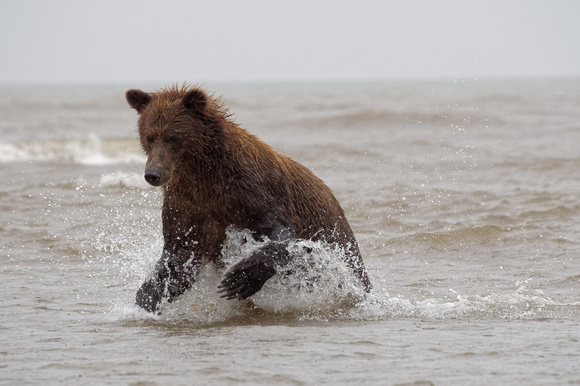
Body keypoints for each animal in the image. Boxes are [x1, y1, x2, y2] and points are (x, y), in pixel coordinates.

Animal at [126, 84, 372, 314]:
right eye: (149, 137)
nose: (153, 174)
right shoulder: (186, 207)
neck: (203, 175)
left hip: (336, 237)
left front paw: (241, 277)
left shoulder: (250, 189)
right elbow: (179, 258)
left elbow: (278, 230)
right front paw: (144, 300)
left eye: (173, 137)